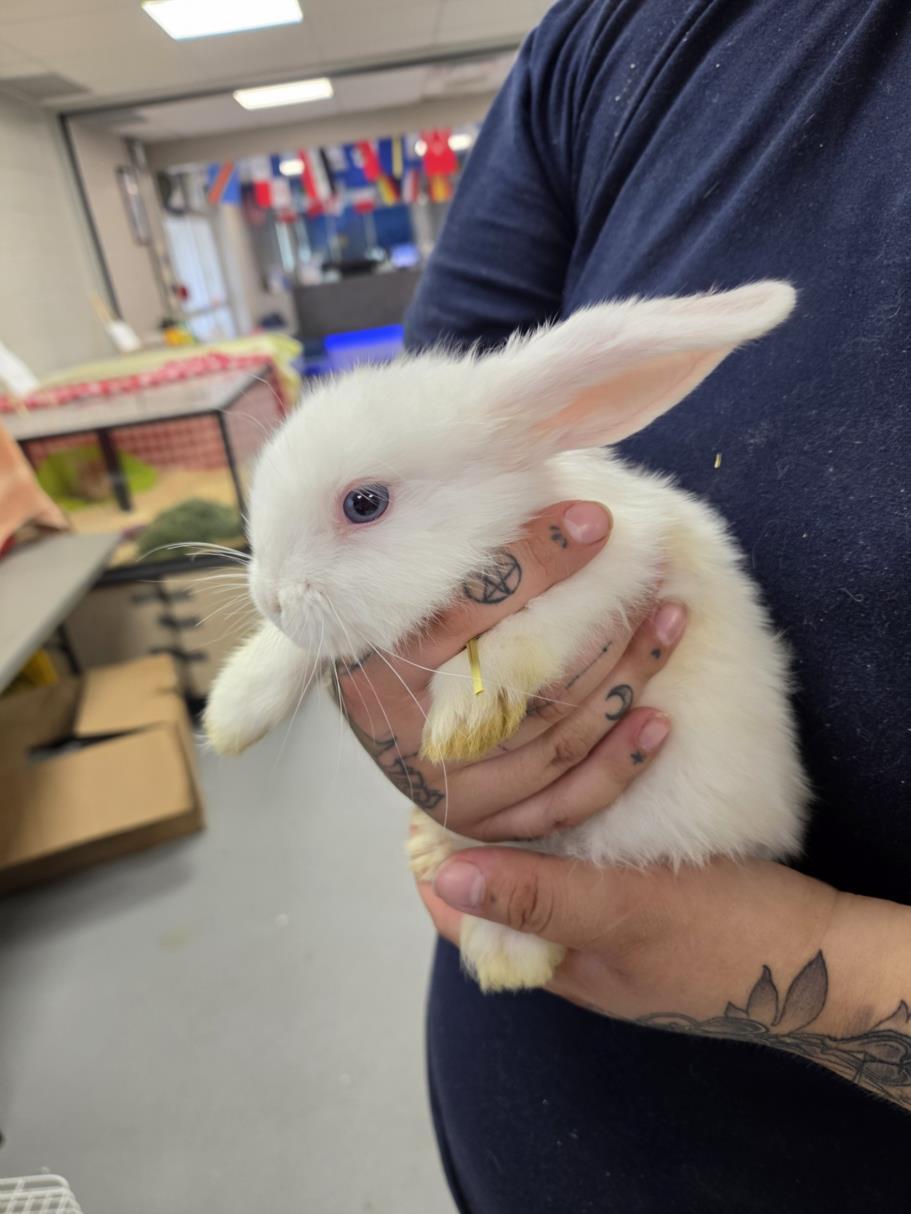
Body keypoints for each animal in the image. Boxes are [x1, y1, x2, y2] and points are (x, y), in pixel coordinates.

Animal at [204, 281, 810, 993]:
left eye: (365, 503)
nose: (270, 597)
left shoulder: (618, 563)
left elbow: (536, 625)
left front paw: (465, 718)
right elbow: (297, 650)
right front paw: (231, 712)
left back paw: (505, 954)